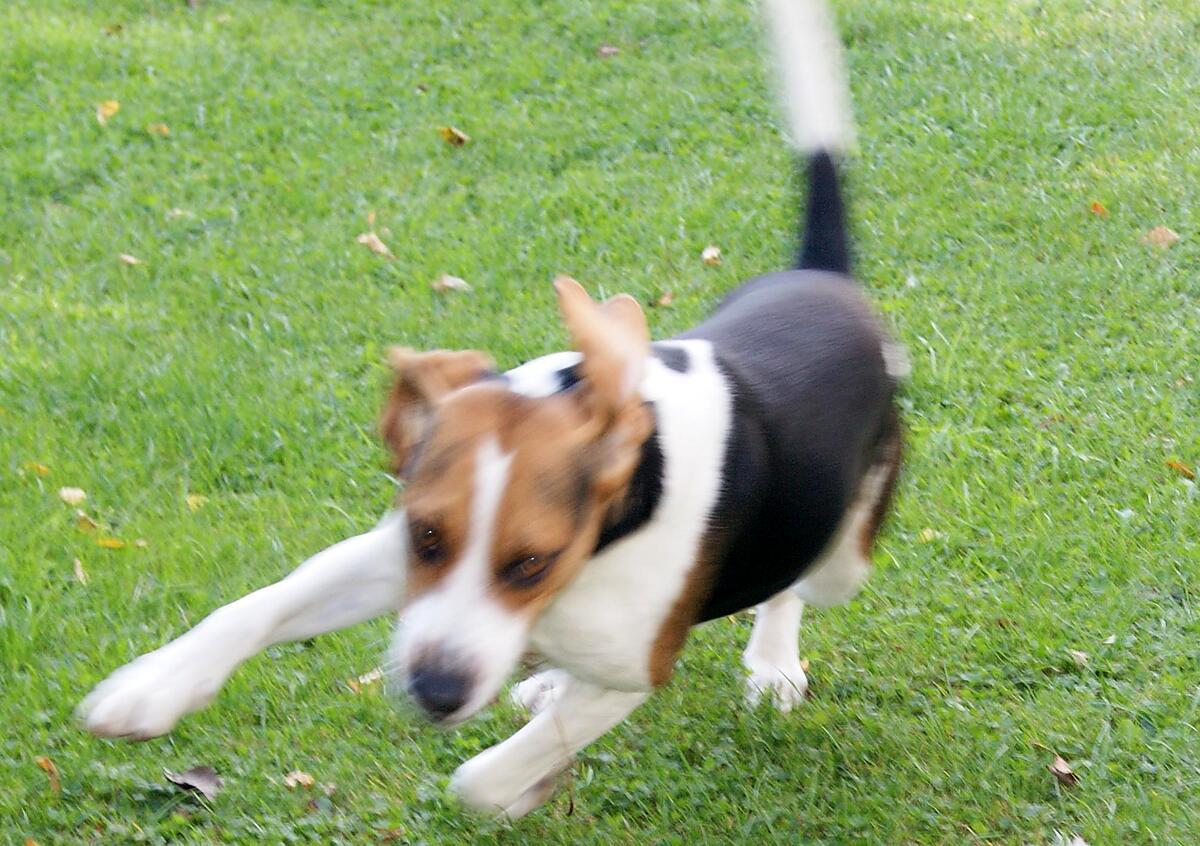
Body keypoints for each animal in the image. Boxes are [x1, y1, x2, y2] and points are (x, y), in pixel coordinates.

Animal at [79, 0, 902, 816]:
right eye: (427, 536)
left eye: (532, 561)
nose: (435, 691)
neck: (614, 527)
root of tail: (821, 279)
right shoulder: (387, 555)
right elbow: (256, 605)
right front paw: (151, 689)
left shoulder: (637, 665)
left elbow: (476, 780)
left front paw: (521, 786)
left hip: (842, 557)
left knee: (799, 580)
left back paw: (770, 663)